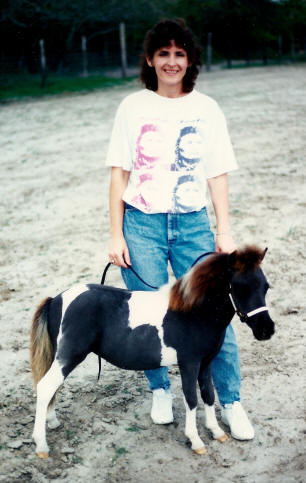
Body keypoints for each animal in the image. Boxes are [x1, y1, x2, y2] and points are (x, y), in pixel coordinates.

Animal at [30, 248, 274, 460]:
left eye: (265, 287)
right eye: (239, 288)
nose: (267, 330)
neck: (194, 312)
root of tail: (56, 300)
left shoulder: (205, 364)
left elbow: (208, 395)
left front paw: (217, 432)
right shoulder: (189, 364)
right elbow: (191, 399)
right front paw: (196, 441)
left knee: (50, 388)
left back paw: (52, 422)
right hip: (69, 356)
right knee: (45, 387)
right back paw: (41, 446)